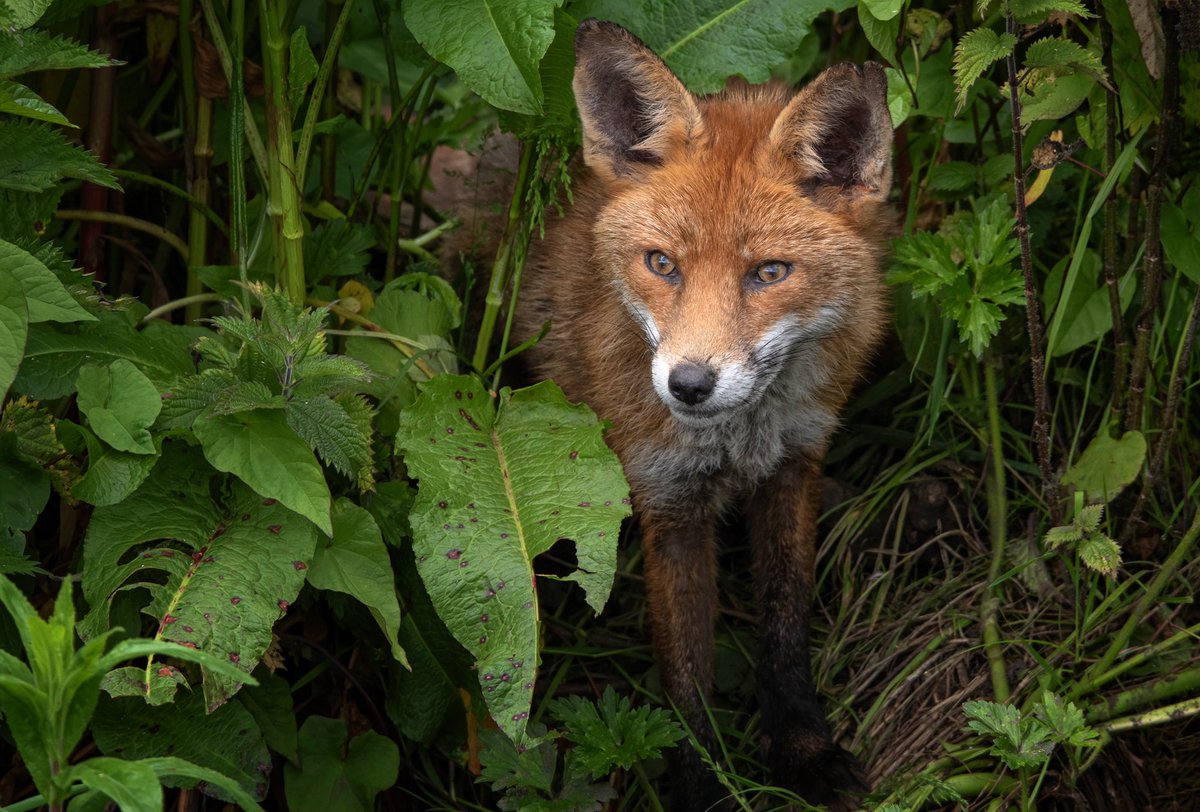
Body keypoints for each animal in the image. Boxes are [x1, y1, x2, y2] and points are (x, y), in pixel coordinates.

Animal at [512, 19, 894, 810]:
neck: (741, 439)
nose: (688, 385)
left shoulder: (794, 467)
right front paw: (704, 784)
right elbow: (686, 677)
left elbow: (785, 622)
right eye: (662, 264)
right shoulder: (668, 502)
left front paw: (804, 751)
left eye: (769, 273)